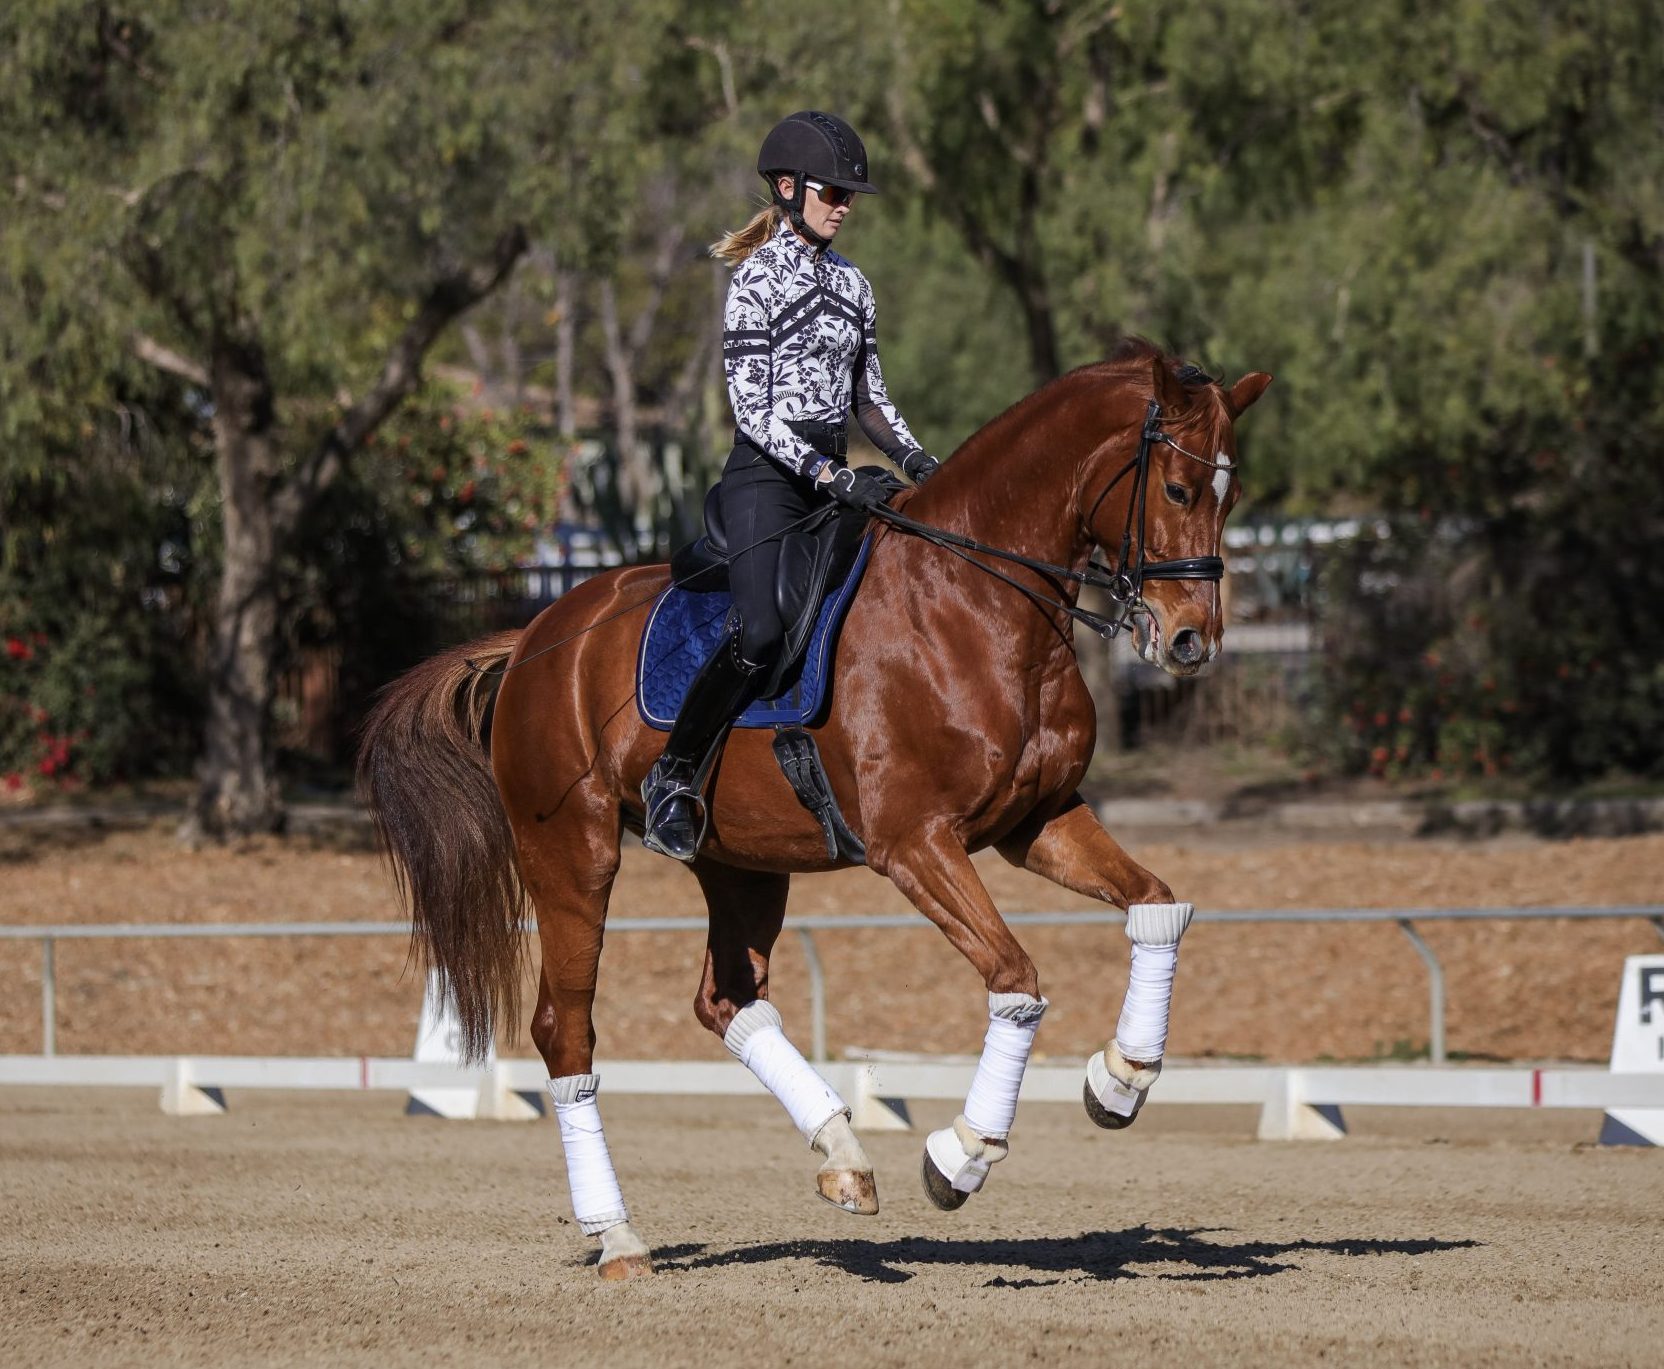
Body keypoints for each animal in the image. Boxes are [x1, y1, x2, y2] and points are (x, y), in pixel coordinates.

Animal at [359, 338, 1271, 1280]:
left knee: (725, 999)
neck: (977, 604)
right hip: (573, 855)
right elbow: (1016, 978)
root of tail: (536, 637)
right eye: (1178, 489)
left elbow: (1159, 905)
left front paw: (1120, 1078)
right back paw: (618, 1236)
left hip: (742, 865)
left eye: (1232, 494)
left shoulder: (1038, 823)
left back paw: (842, 1154)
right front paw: (962, 1153)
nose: (1192, 641)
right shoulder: (916, 843)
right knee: (564, 1029)